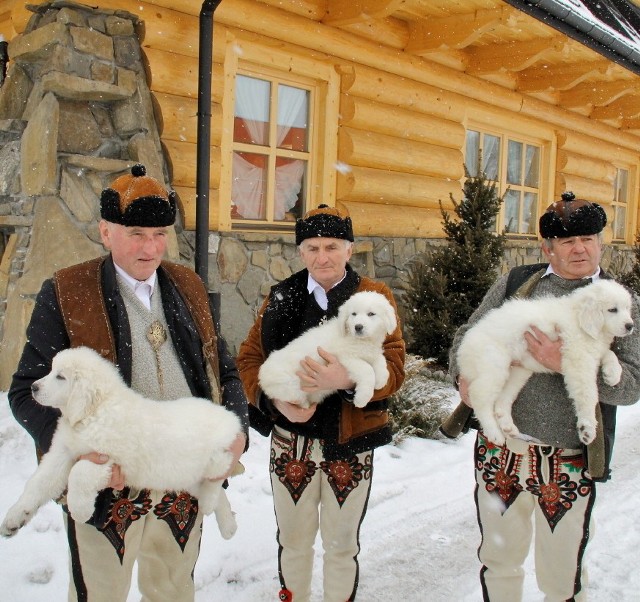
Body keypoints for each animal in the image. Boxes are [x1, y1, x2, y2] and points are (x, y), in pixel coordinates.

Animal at [1, 344, 241, 536]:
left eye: (60, 377)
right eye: (51, 371)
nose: (33, 387)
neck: (93, 412)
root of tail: (232, 418)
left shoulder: (106, 458)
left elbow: (78, 473)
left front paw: (80, 510)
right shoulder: (63, 453)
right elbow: (39, 483)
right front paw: (15, 517)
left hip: (217, 458)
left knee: (217, 481)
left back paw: (209, 503)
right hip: (187, 477)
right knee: (219, 494)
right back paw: (228, 526)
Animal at [258, 290, 398, 408]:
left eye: (371, 314)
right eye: (353, 314)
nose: (358, 327)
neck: (361, 341)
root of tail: (261, 377)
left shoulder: (371, 352)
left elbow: (381, 360)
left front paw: (381, 380)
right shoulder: (345, 358)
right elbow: (367, 369)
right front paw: (362, 399)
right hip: (290, 387)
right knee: (298, 400)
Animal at [458, 278, 632, 442]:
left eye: (627, 309)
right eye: (612, 309)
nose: (630, 325)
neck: (579, 319)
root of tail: (464, 347)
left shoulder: (593, 350)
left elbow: (610, 353)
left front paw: (613, 374)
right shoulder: (579, 361)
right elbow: (588, 394)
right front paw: (587, 428)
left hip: (518, 371)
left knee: (501, 401)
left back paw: (508, 427)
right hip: (494, 366)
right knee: (478, 396)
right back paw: (494, 433)